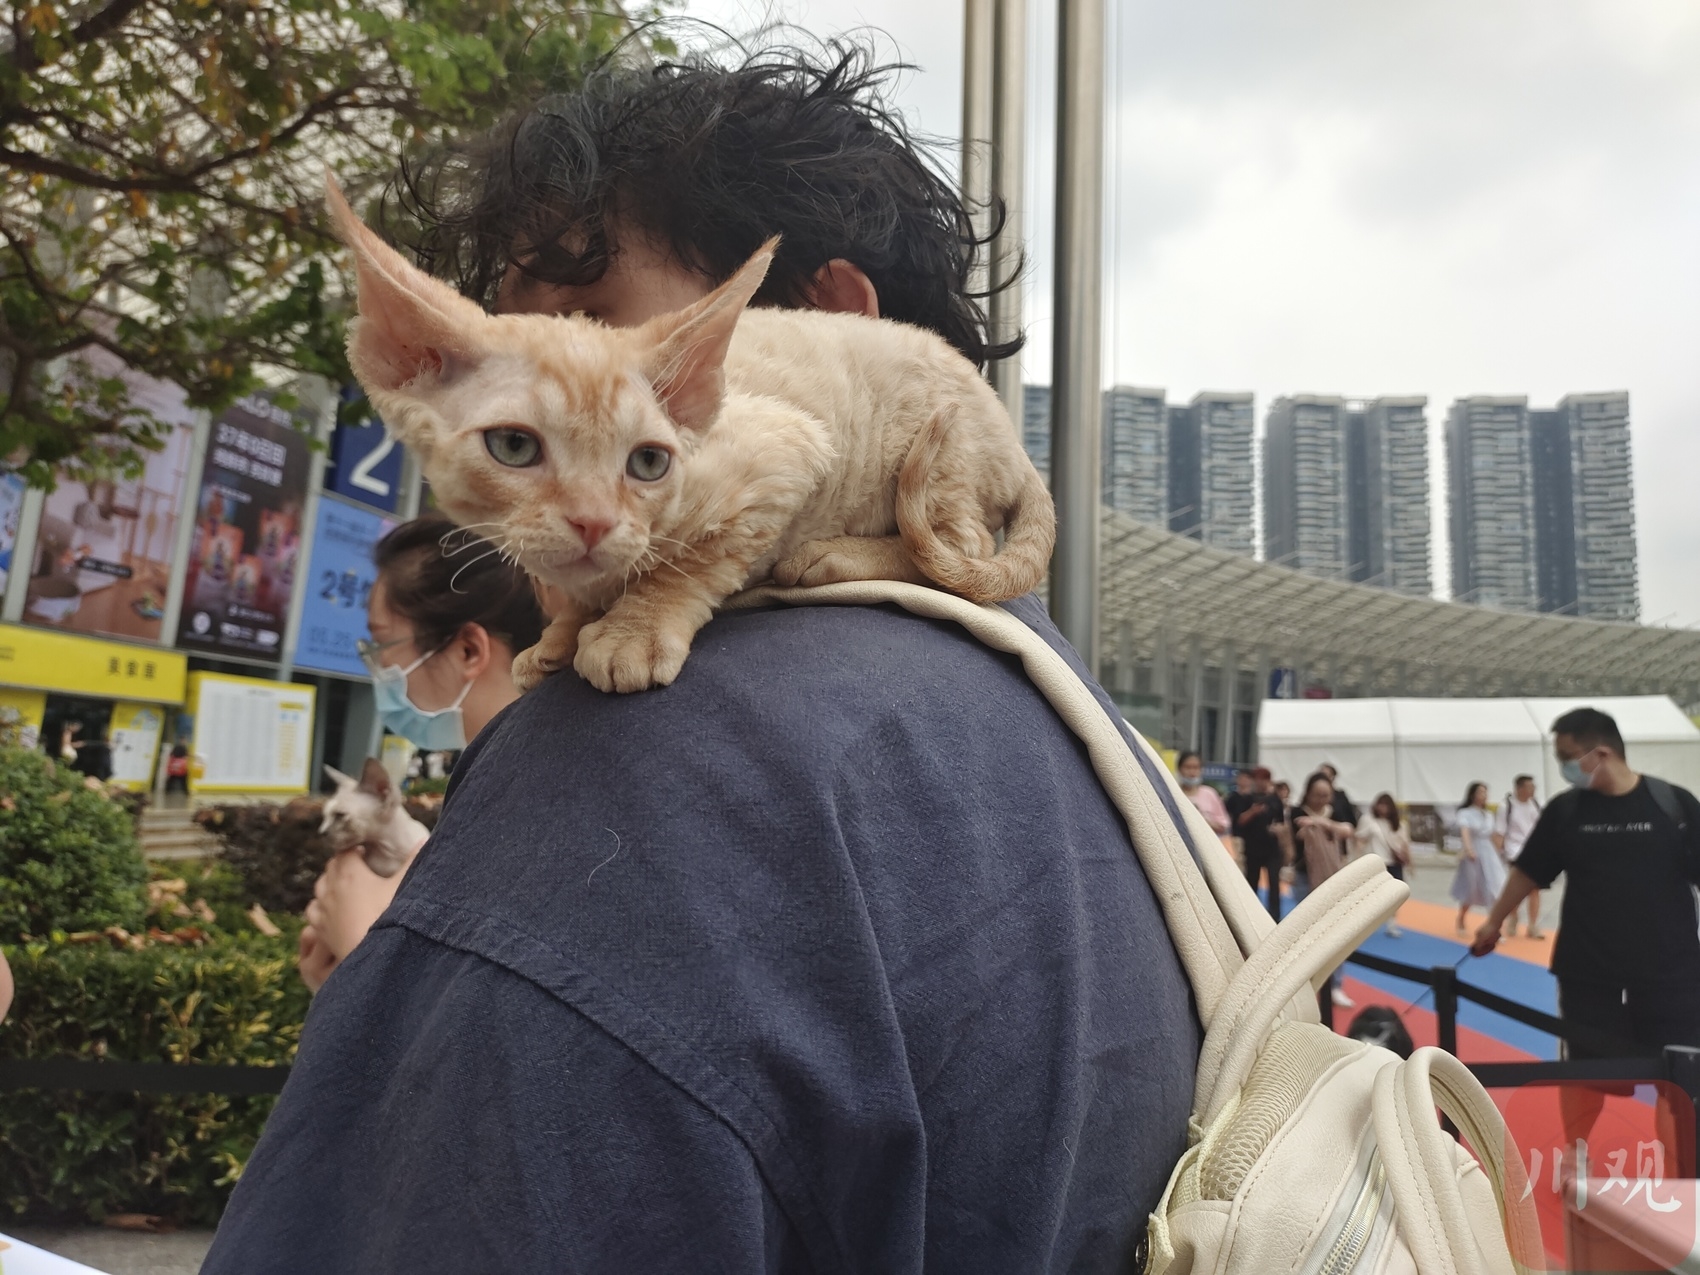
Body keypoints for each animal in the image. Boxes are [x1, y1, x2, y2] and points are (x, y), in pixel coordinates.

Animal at [324, 173, 1055, 693]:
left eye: (649, 463)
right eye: (514, 448)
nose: (593, 522)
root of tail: (1012, 438)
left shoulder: (785, 452)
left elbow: (697, 563)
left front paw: (633, 630)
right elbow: (587, 586)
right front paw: (560, 634)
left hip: (941, 456)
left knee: (959, 547)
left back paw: (831, 556)